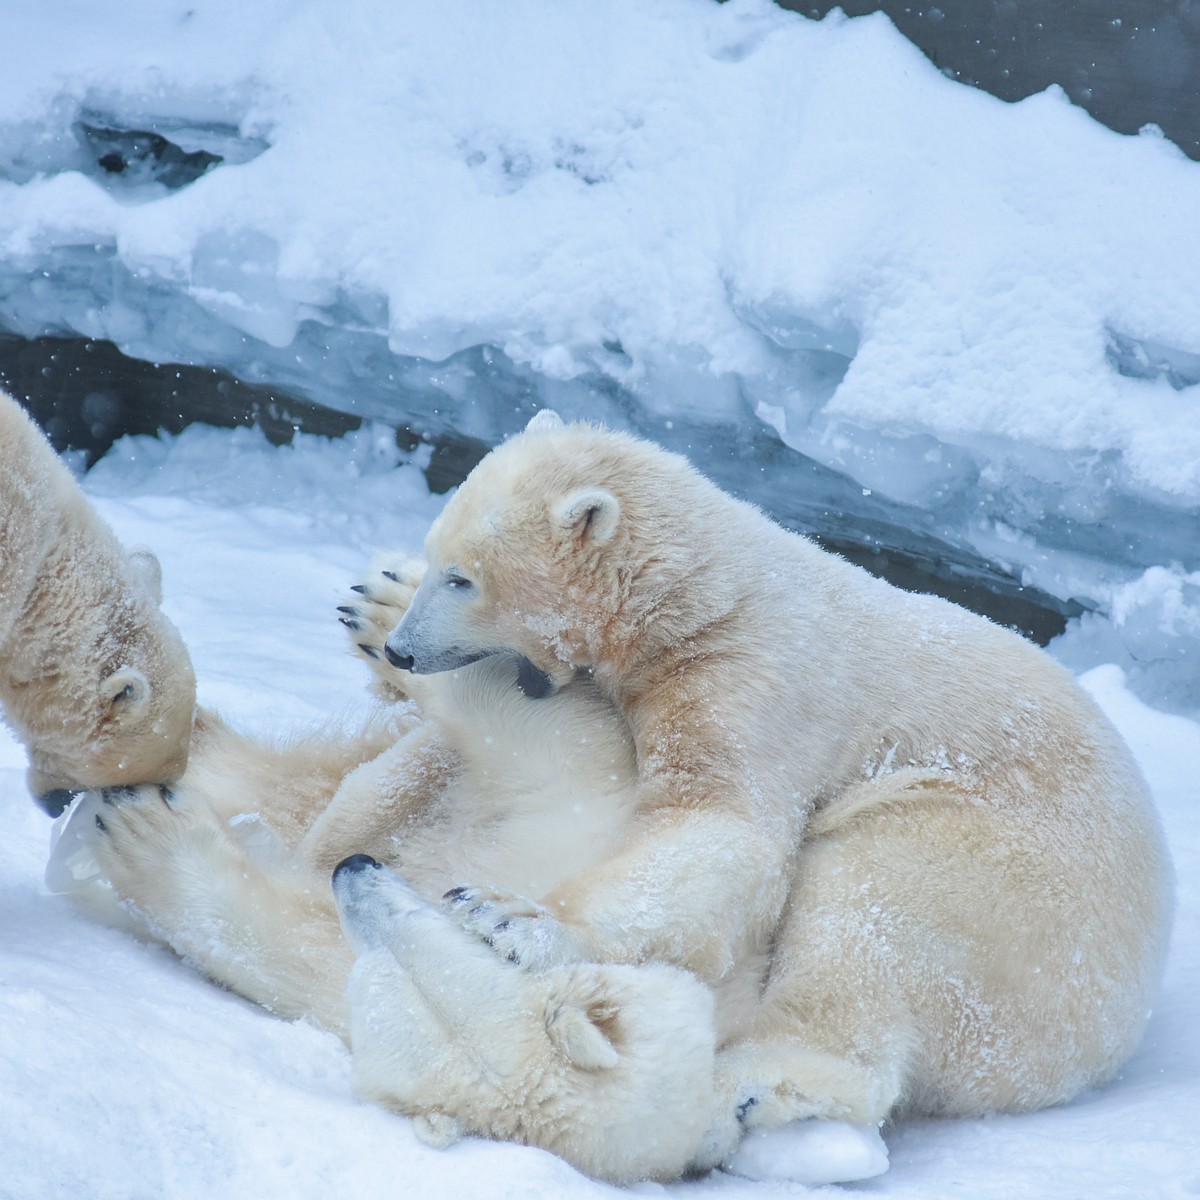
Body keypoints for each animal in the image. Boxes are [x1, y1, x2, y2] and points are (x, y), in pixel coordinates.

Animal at [35, 415, 1171, 1190]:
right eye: (439, 560)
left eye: (467, 576)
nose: (407, 646)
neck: (714, 596)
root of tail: (1123, 1024)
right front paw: (374, 604)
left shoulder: (750, 684)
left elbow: (716, 827)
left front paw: (513, 918)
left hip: (1006, 877)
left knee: (876, 910)